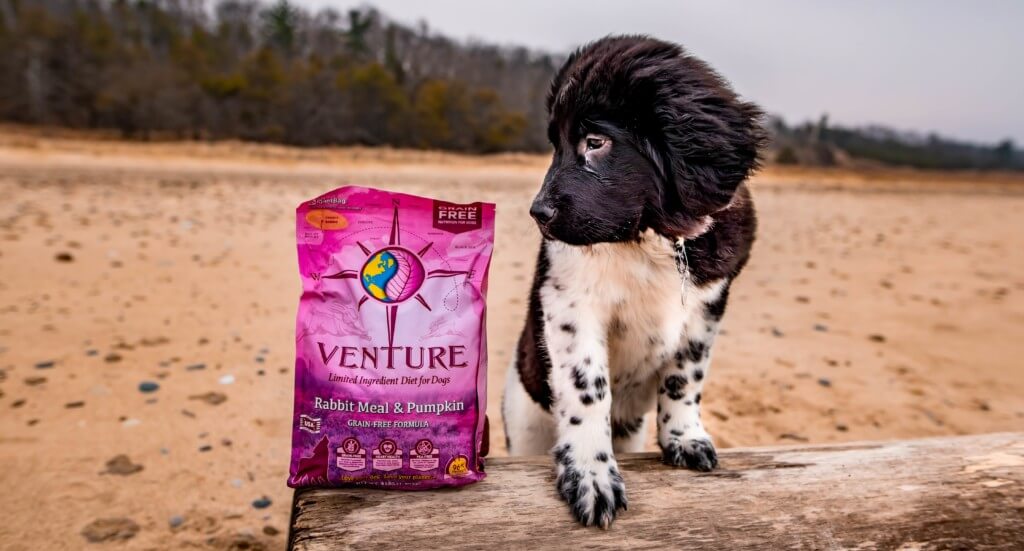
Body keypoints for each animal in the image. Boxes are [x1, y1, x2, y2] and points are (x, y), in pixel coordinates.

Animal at [499, 36, 765, 524]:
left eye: (596, 142)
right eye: (556, 144)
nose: (538, 213)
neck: (648, 238)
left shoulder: (707, 305)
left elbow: (685, 376)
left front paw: (685, 439)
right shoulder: (571, 302)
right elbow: (588, 388)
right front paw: (590, 474)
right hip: (524, 418)